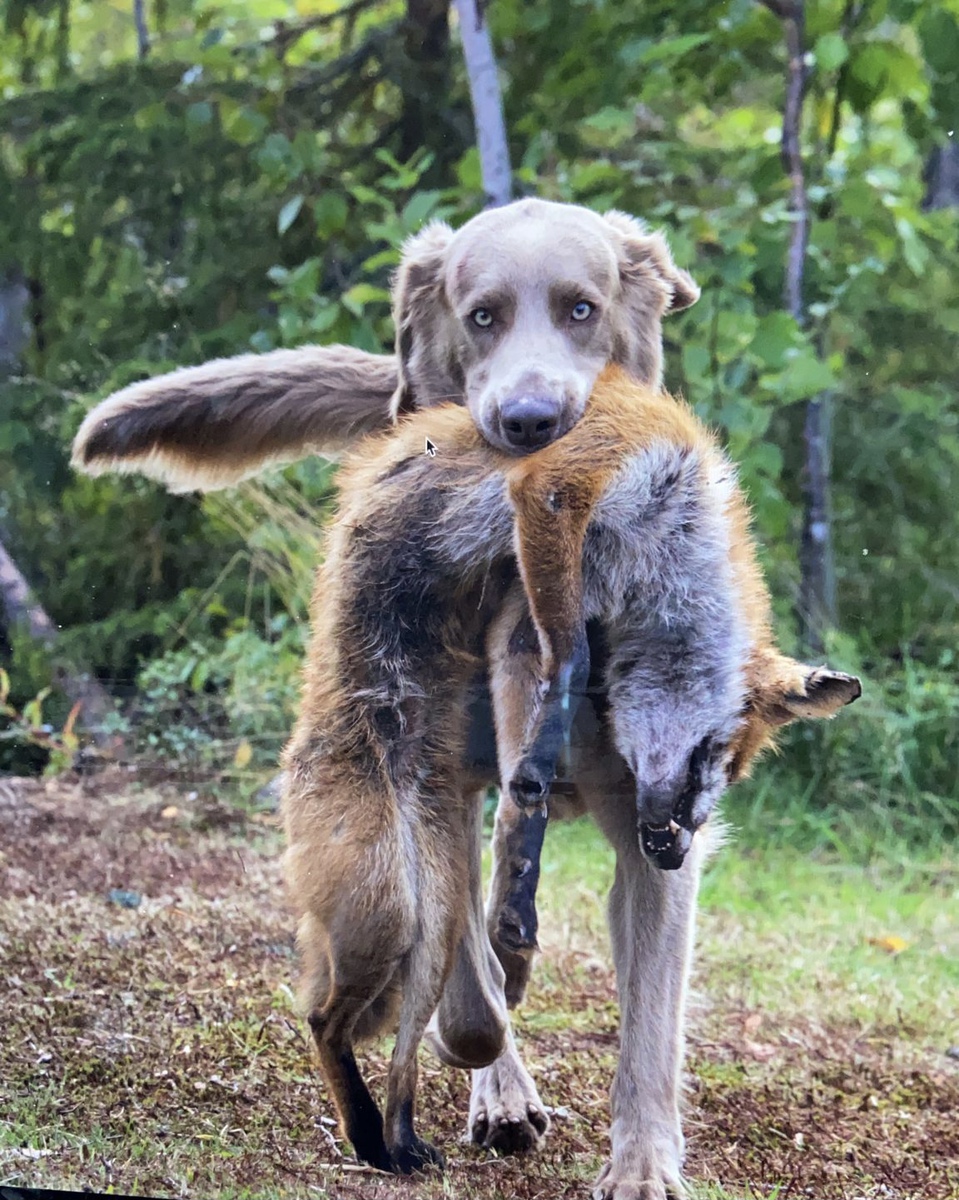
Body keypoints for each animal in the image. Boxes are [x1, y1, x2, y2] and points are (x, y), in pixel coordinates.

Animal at [280, 362, 859, 1190]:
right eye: (717, 753)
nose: (678, 847)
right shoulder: (567, 508)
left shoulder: (638, 852)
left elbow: (649, 1038)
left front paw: (643, 1169)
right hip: (390, 890)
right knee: (350, 1012)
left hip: (416, 890)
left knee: (409, 1008)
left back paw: (402, 1130)